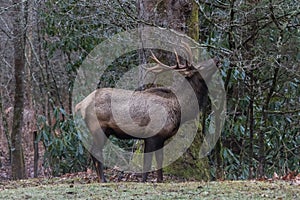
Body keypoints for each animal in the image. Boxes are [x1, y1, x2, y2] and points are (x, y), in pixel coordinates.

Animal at [74, 45, 217, 183]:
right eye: (200, 67)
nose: (215, 59)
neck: (179, 109)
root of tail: (81, 104)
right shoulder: (152, 135)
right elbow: (147, 162)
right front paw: (144, 180)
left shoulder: (161, 137)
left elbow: (159, 160)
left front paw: (160, 180)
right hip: (99, 128)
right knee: (95, 151)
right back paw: (103, 179)